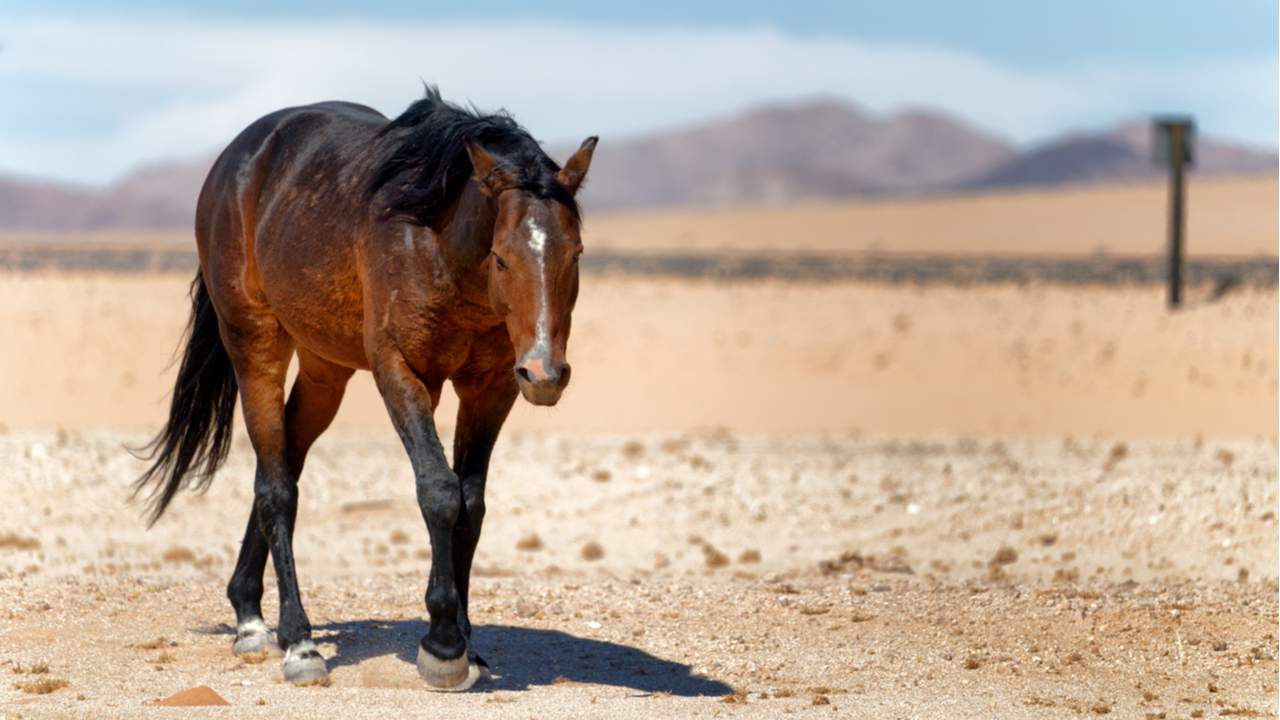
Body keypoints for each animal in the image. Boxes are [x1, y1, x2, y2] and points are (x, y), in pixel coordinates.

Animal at [135, 87, 599, 686]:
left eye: (576, 253)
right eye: (502, 257)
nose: (544, 373)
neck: (438, 241)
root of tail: (233, 161)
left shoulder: (490, 388)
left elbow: (472, 506)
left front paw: (467, 644)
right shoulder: (401, 372)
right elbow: (439, 491)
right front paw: (443, 646)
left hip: (323, 371)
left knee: (280, 466)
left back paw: (250, 613)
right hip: (255, 344)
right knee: (277, 489)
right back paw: (297, 642)